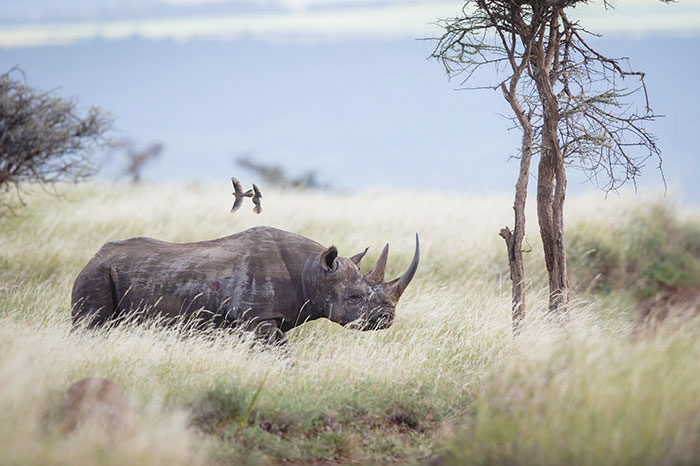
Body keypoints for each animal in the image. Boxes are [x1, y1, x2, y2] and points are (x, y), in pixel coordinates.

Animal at [71, 226, 419, 343]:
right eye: (355, 297)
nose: (387, 319)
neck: (314, 273)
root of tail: (93, 256)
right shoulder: (258, 318)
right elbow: (281, 353)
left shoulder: (260, 319)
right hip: (96, 274)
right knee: (91, 324)